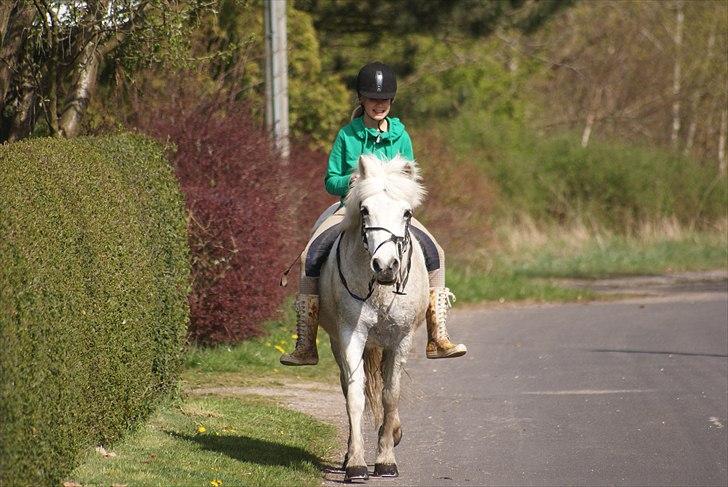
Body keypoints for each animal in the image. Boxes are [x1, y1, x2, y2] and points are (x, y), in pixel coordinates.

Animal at [318, 154, 426, 482]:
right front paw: (355, 463)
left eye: (406, 212)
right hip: (338, 342)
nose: (386, 265)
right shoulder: (351, 334)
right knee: (348, 385)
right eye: (365, 210)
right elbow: (355, 396)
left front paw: (386, 459)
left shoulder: (401, 339)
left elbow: (391, 395)